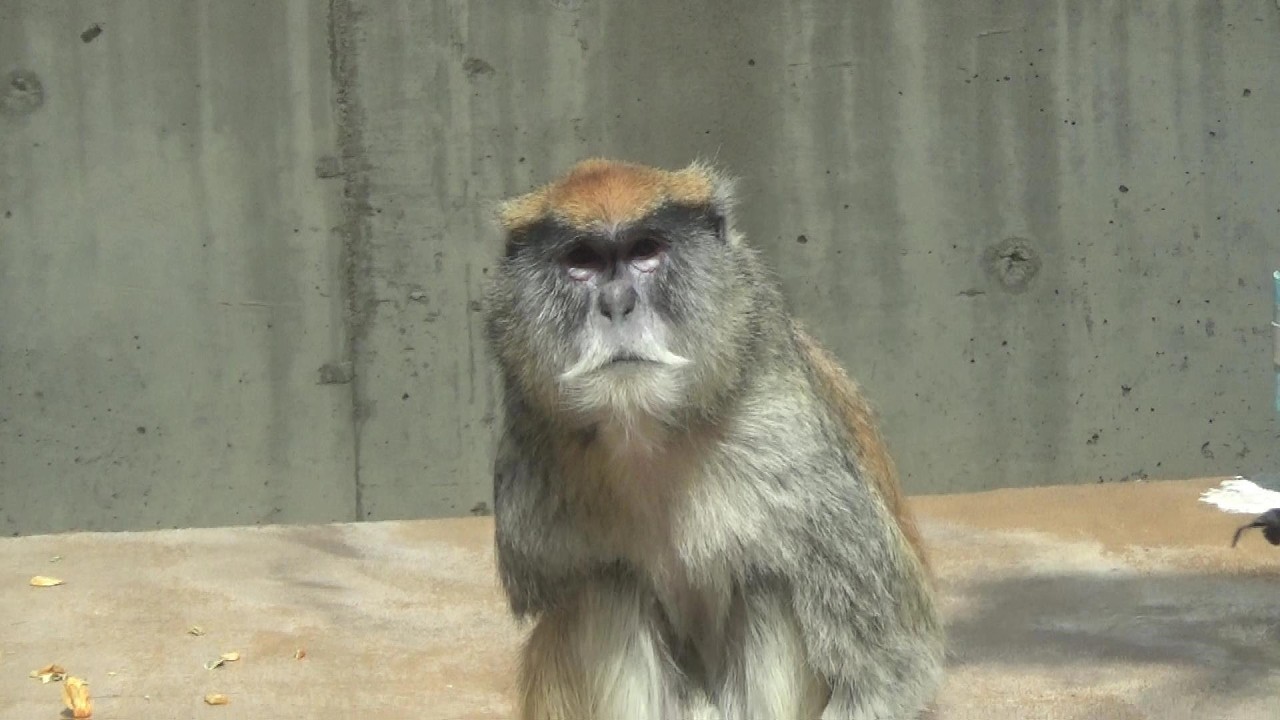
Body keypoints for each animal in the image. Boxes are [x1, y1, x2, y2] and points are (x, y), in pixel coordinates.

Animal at [481, 158, 945, 720]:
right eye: (582, 261)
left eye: (646, 251)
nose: (617, 303)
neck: (655, 431)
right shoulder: (533, 441)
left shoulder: (792, 453)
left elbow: (891, 668)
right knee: (606, 587)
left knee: (766, 583)